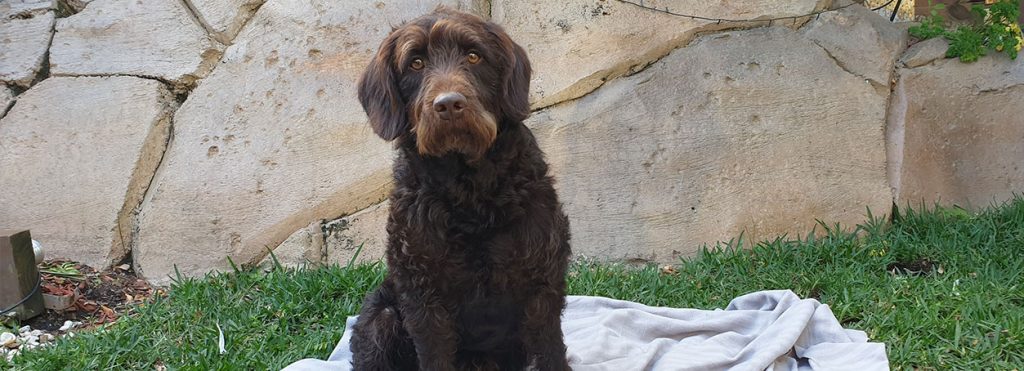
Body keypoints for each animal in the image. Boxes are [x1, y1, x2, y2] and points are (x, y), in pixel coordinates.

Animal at [350, 5, 577, 371]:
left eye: (473, 56)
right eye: (415, 63)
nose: (448, 104)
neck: (469, 190)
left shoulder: (541, 282)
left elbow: (549, 349)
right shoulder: (424, 296)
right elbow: (434, 353)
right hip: (380, 319)